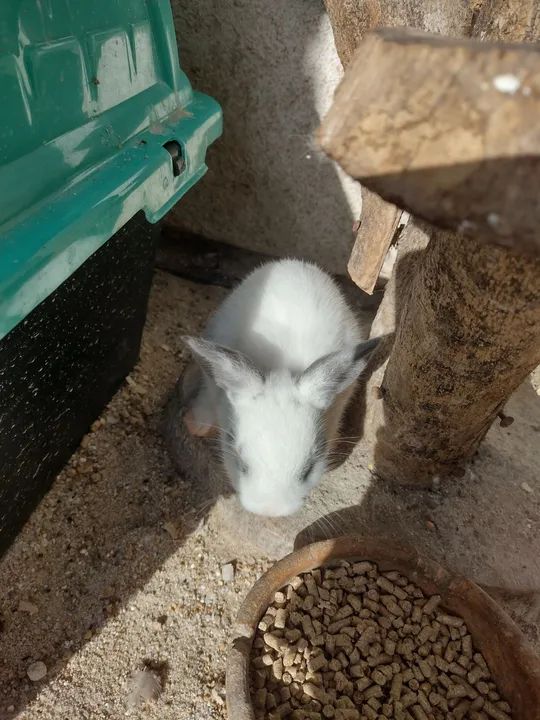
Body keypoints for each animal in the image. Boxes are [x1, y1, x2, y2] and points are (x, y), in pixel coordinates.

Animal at [182, 258, 378, 517]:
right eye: (241, 463)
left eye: (308, 469)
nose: (270, 510)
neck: (281, 367)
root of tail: (294, 263)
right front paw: (195, 426)